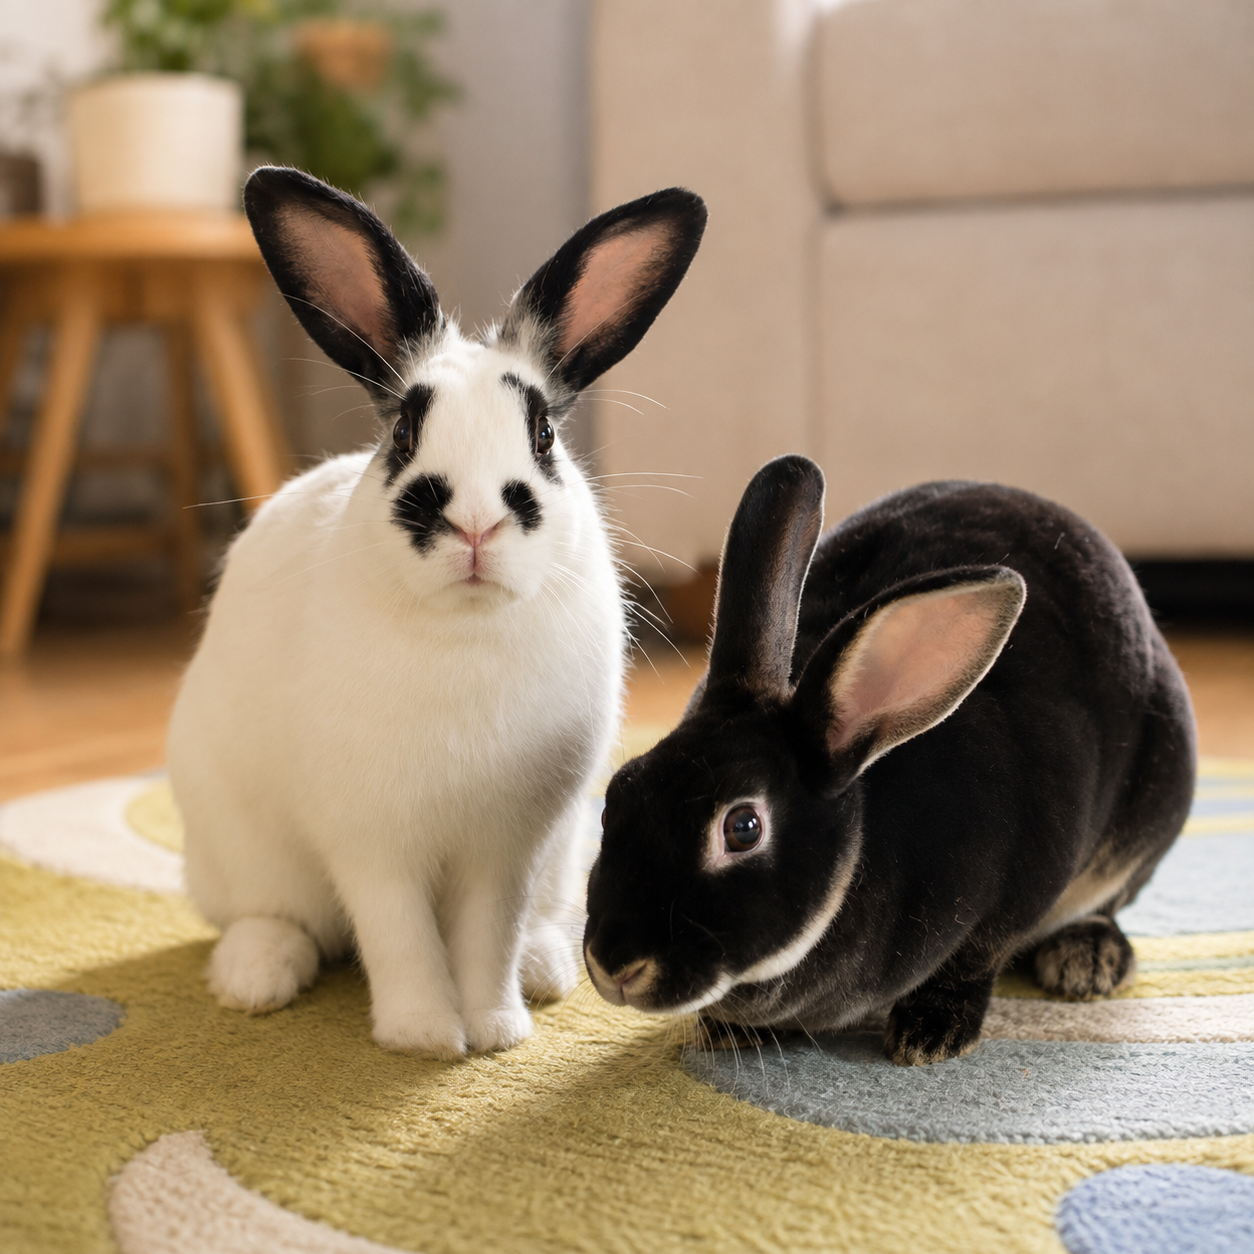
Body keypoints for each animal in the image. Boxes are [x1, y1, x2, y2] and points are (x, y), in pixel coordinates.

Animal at [167, 167, 707, 1058]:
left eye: (543, 432)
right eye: (404, 432)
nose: (476, 522)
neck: (466, 630)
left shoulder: (508, 849)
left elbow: (486, 936)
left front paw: (493, 1031)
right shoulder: (372, 842)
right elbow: (401, 939)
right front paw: (422, 1036)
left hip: (568, 852)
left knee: (536, 923)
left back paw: (545, 967)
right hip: (239, 847)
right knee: (271, 917)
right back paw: (256, 977)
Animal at [584, 455, 1196, 1065]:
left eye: (743, 828)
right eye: (615, 799)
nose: (614, 966)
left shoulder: (1025, 879)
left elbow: (977, 956)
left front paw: (930, 1034)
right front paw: (729, 1030)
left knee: (1108, 901)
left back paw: (1087, 959)